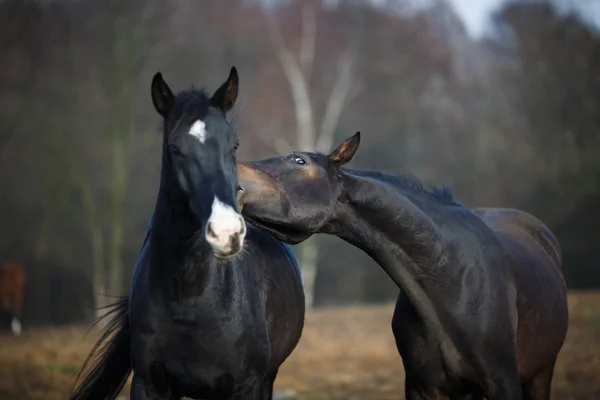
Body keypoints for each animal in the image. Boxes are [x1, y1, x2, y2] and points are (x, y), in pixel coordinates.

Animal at [71, 68, 304, 400]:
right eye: (175, 149)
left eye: (233, 145)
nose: (226, 231)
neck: (191, 299)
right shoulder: (148, 385)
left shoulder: (246, 386)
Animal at [237, 133, 568, 398]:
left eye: (299, 160)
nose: (233, 173)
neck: (452, 283)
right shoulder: (422, 387)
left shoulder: (503, 384)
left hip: (541, 374)